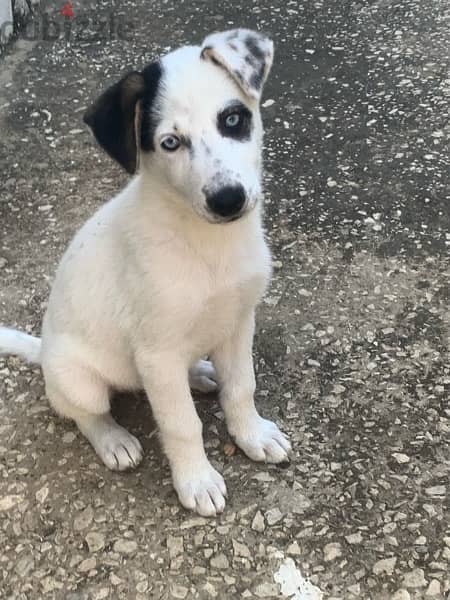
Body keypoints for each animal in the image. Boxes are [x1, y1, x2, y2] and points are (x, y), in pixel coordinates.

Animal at [0, 29, 292, 516]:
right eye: (170, 143)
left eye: (233, 119)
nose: (228, 199)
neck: (207, 242)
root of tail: (43, 350)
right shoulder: (157, 351)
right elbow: (181, 423)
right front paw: (197, 480)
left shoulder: (238, 321)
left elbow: (241, 388)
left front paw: (252, 435)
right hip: (78, 379)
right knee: (85, 412)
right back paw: (114, 440)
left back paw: (201, 374)